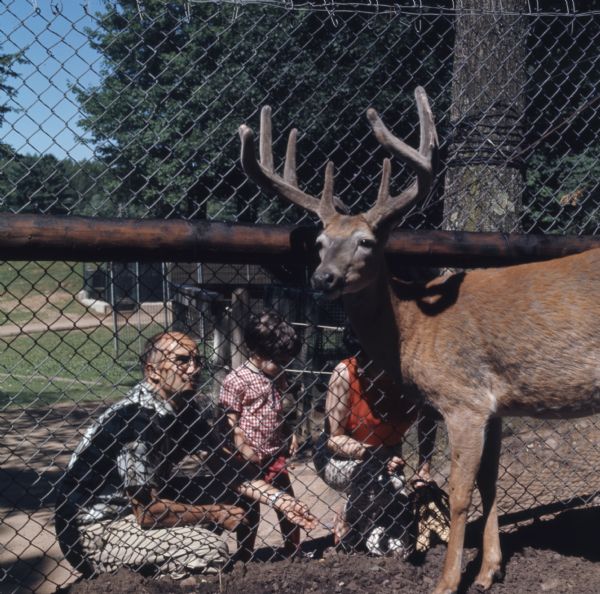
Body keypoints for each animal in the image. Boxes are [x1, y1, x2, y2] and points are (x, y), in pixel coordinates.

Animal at [239, 88, 600, 592]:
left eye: (367, 241)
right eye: (321, 243)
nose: (323, 278)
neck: (414, 328)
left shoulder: (464, 398)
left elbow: (460, 494)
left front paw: (448, 582)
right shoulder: (496, 405)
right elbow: (490, 485)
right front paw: (488, 571)